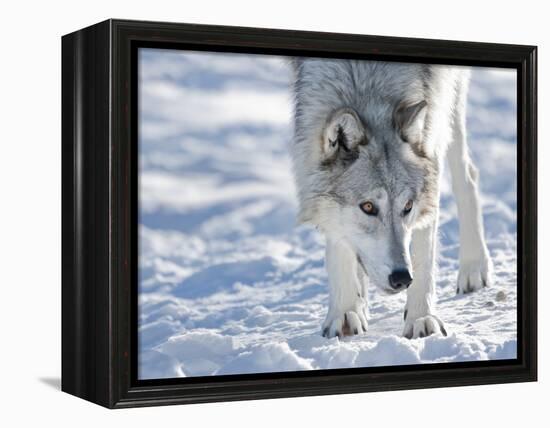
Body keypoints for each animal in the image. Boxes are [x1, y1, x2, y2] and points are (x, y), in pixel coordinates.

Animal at [292, 58, 494, 340]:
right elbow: (338, 241)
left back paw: (473, 267)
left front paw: (421, 318)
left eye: (407, 206)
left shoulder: (434, 116)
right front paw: (345, 312)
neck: (367, 81)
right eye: (368, 207)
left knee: (467, 176)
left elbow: (423, 250)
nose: (401, 278)